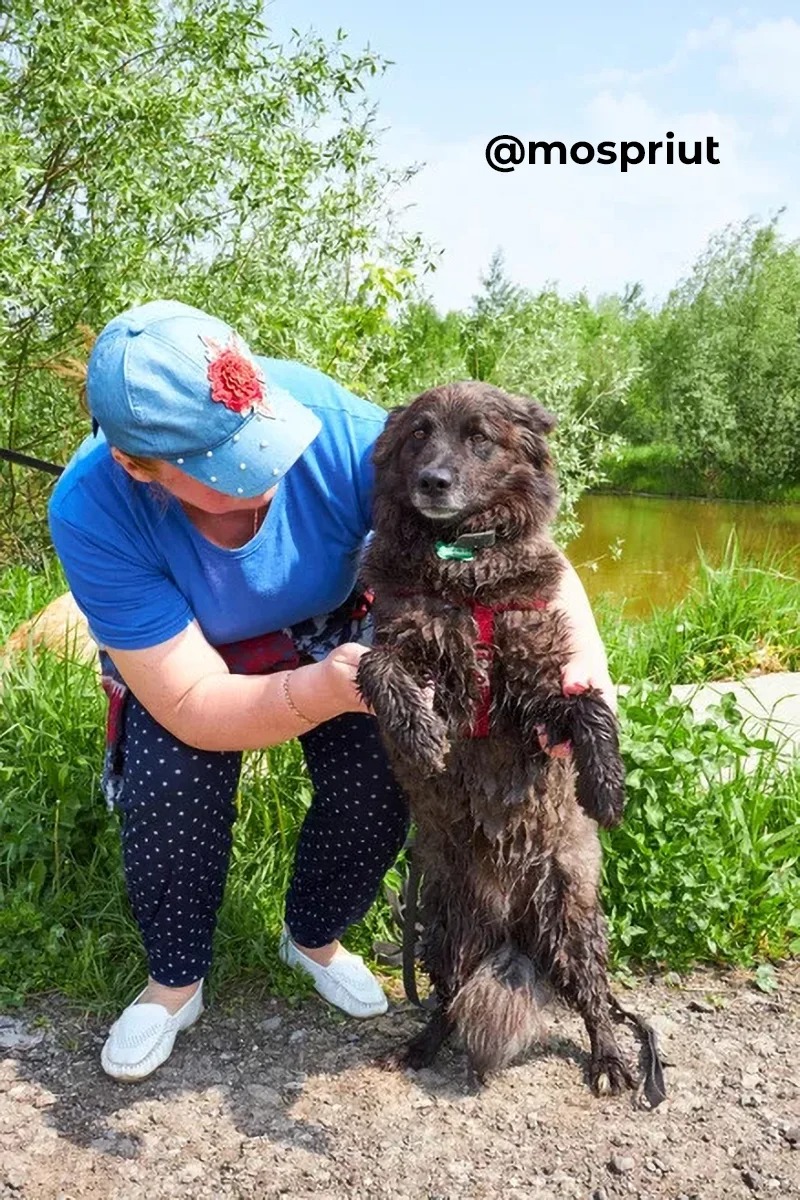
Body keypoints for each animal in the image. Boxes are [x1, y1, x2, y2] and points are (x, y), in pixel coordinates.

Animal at [359, 384, 666, 1104]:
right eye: (418, 434)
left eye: (480, 437)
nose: (432, 481)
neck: (462, 568)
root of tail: (509, 925)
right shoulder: (403, 637)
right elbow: (379, 667)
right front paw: (419, 737)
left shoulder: (535, 696)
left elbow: (590, 706)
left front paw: (606, 787)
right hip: (445, 925)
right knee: (448, 1001)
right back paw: (421, 1046)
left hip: (569, 918)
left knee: (594, 1000)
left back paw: (611, 1060)